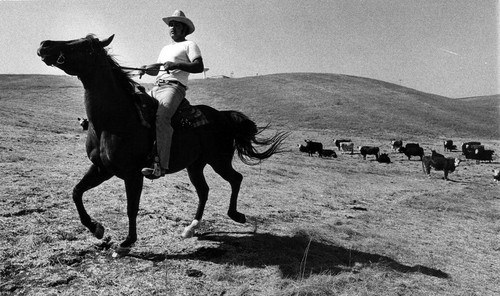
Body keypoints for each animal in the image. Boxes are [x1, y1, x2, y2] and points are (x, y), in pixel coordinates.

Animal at [37, 33, 288, 253]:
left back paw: (236, 215)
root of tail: (224, 116)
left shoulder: (133, 174)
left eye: (85, 45)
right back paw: (191, 228)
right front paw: (96, 228)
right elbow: (76, 192)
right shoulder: (102, 168)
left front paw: (127, 243)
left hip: (219, 160)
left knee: (236, 179)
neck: (114, 120)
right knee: (204, 191)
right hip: (195, 165)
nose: (44, 45)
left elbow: (131, 208)